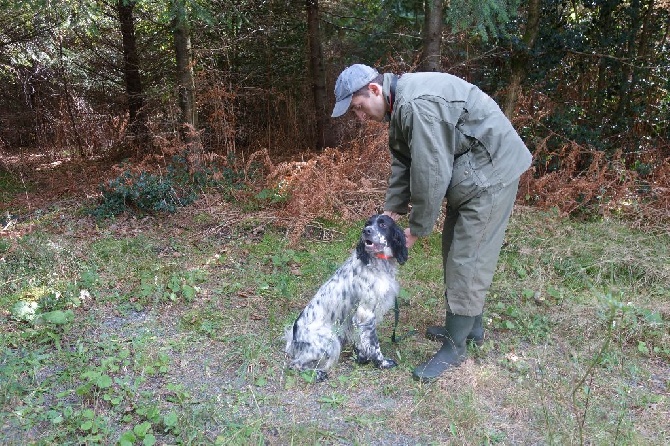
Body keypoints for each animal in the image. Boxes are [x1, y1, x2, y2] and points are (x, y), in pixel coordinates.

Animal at [284, 214, 410, 382]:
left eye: (383, 225)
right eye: (367, 223)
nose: (366, 231)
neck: (376, 263)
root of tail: (294, 338)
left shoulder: (357, 318)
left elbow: (361, 340)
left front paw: (362, 358)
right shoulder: (366, 313)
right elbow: (373, 343)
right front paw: (381, 362)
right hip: (329, 341)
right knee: (295, 364)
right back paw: (318, 374)